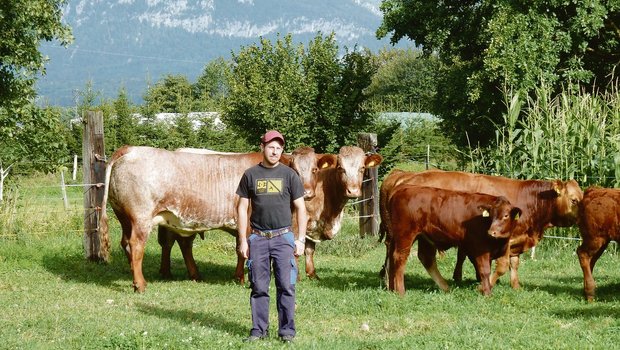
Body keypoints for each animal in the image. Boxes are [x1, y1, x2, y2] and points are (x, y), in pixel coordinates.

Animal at [378, 169, 580, 288]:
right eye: (574, 200)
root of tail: (402, 175)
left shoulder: (517, 239)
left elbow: (514, 264)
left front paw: (515, 286)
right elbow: (502, 266)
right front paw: (486, 284)